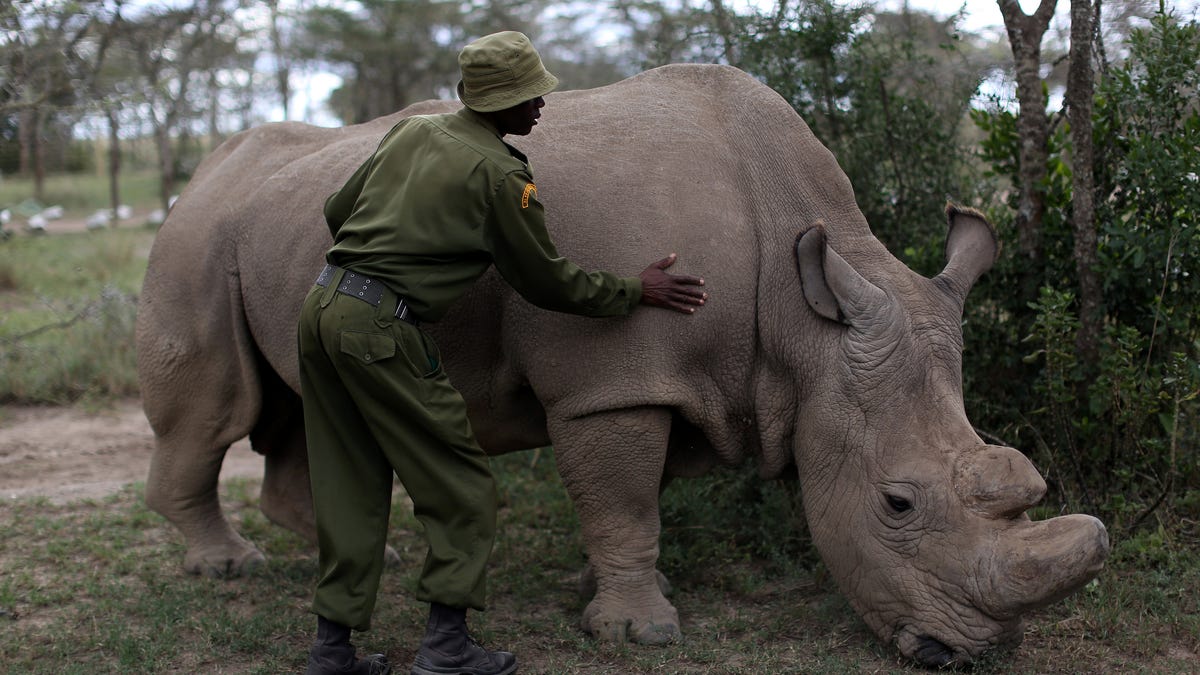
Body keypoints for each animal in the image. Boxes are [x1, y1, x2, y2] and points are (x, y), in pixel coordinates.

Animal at [136, 64, 1108, 667]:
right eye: (897, 504)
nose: (974, 654)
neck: (803, 324)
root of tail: (205, 171)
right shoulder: (612, 383)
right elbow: (625, 496)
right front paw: (640, 634)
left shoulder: (677, 378)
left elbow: (631, 498)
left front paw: (599, 591)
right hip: (195, 234)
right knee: (219, 408)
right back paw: (227, 568)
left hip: (272, 233)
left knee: (295, 403)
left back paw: (330, 546)